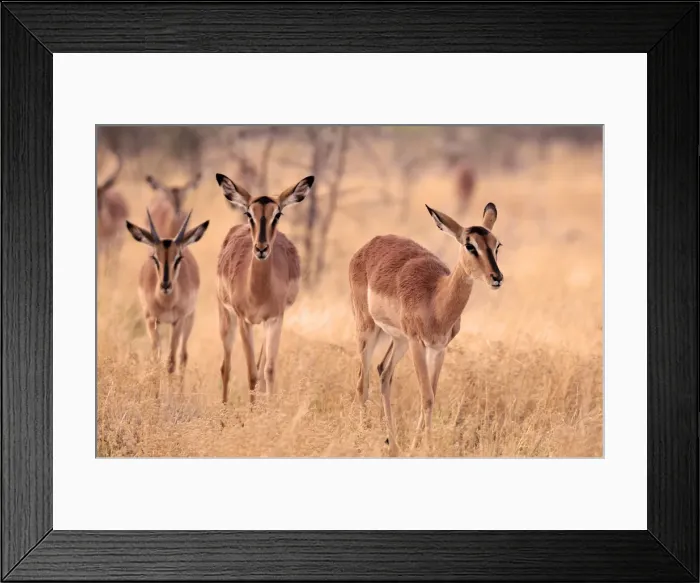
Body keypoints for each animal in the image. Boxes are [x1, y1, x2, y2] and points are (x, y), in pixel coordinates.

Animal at [125, 209, 209, 375]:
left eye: (178, 258)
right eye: (154, 257)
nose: (165, 285)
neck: (165, 302)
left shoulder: (178, 321)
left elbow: (171, 362)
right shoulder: (151, 320)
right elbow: (155, 360)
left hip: (189, 319)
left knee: (183, 356)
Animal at [215, 172, 314, 405]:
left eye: (277, 214)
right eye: (248, 213)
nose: (261, 248)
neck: (257, 293)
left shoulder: (275, 319)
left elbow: (268, 370)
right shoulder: (244, 321)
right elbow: (251, 373)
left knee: (259, 368)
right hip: (226, 316)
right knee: (226, 366)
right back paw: (223, 410)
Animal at [348, 202, 503, 456]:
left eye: (496, 245)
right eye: (469, 244)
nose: (496, 277)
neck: (435, 299)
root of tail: (370, 244)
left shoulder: (439, 348)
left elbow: (431, 393)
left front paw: (414, 446)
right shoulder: (417, 344)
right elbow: (427, 396)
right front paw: (428, 448)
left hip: (398, 340)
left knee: (384, 372)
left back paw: (394, 445)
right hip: (367, 328)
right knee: (363, 381)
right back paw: (364, 439)